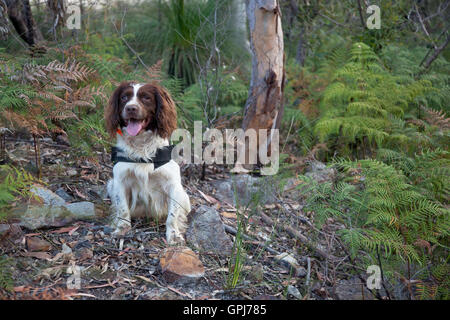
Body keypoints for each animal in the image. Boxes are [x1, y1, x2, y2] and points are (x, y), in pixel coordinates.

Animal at [105, 81, 190, 244]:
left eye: (146, 98)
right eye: (124, 97)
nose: (131, 108)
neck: (141, 148)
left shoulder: (173, 185)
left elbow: (172, 215)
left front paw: (174, 235)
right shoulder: (119, 181)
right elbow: (123, 209)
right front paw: (121, 229)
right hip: (110, 185)